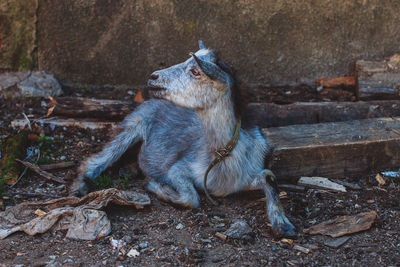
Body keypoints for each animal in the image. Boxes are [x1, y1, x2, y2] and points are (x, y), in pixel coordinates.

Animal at [72, 40, 296, 238]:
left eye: (196, 71)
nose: (153, 76)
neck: (222, 155)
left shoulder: (245, 175)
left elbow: (269, 176)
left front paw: (283, 225)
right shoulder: (179, 167)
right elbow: (191, 198)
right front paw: (157, 186)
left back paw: (128, 169)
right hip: (133, 125)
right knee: (95, 160)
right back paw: (78, 188)